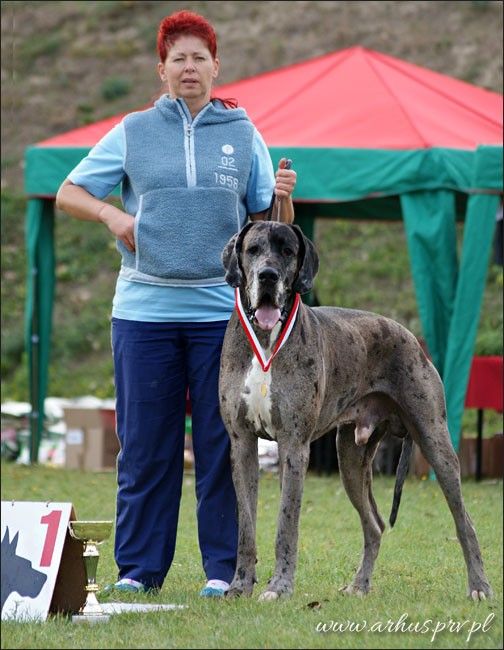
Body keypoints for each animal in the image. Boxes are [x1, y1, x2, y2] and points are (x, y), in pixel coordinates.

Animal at [219, 220, 491, 602]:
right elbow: (246, 526)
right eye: (253, 249)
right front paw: (240, 585)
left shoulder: (293, 447)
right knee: (374, 525)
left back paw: (479, 586)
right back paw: (360, 585)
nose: (268, 276)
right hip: (350, 457)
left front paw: (280, 588)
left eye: (287, 250)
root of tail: (410, 335)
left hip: (436, 441)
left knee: (464, 521)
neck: (266, 336)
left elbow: (286, 524)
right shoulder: (242, 444)